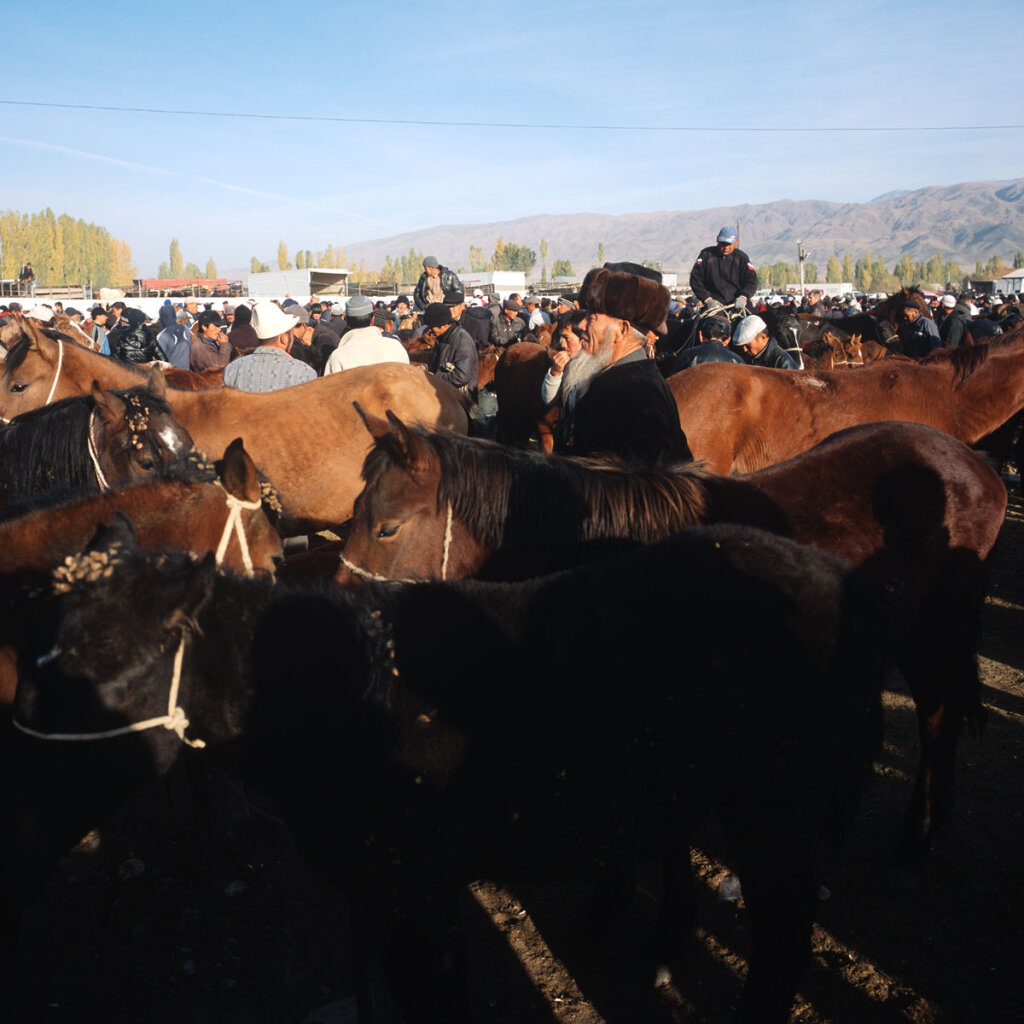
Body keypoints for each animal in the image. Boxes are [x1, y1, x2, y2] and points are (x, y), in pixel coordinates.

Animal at [9, 520, 888, 1024]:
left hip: (773, 812)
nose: (22, 833)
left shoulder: (414, 891)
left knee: (784, 935)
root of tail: (837, 576)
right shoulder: (392, 893)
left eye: (112, 668)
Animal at [337, 411, 1007, 876]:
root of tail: (973, 463)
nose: (340, 607)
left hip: (934, 631)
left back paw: (916, 838)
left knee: (938, 717)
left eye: (387, 527)